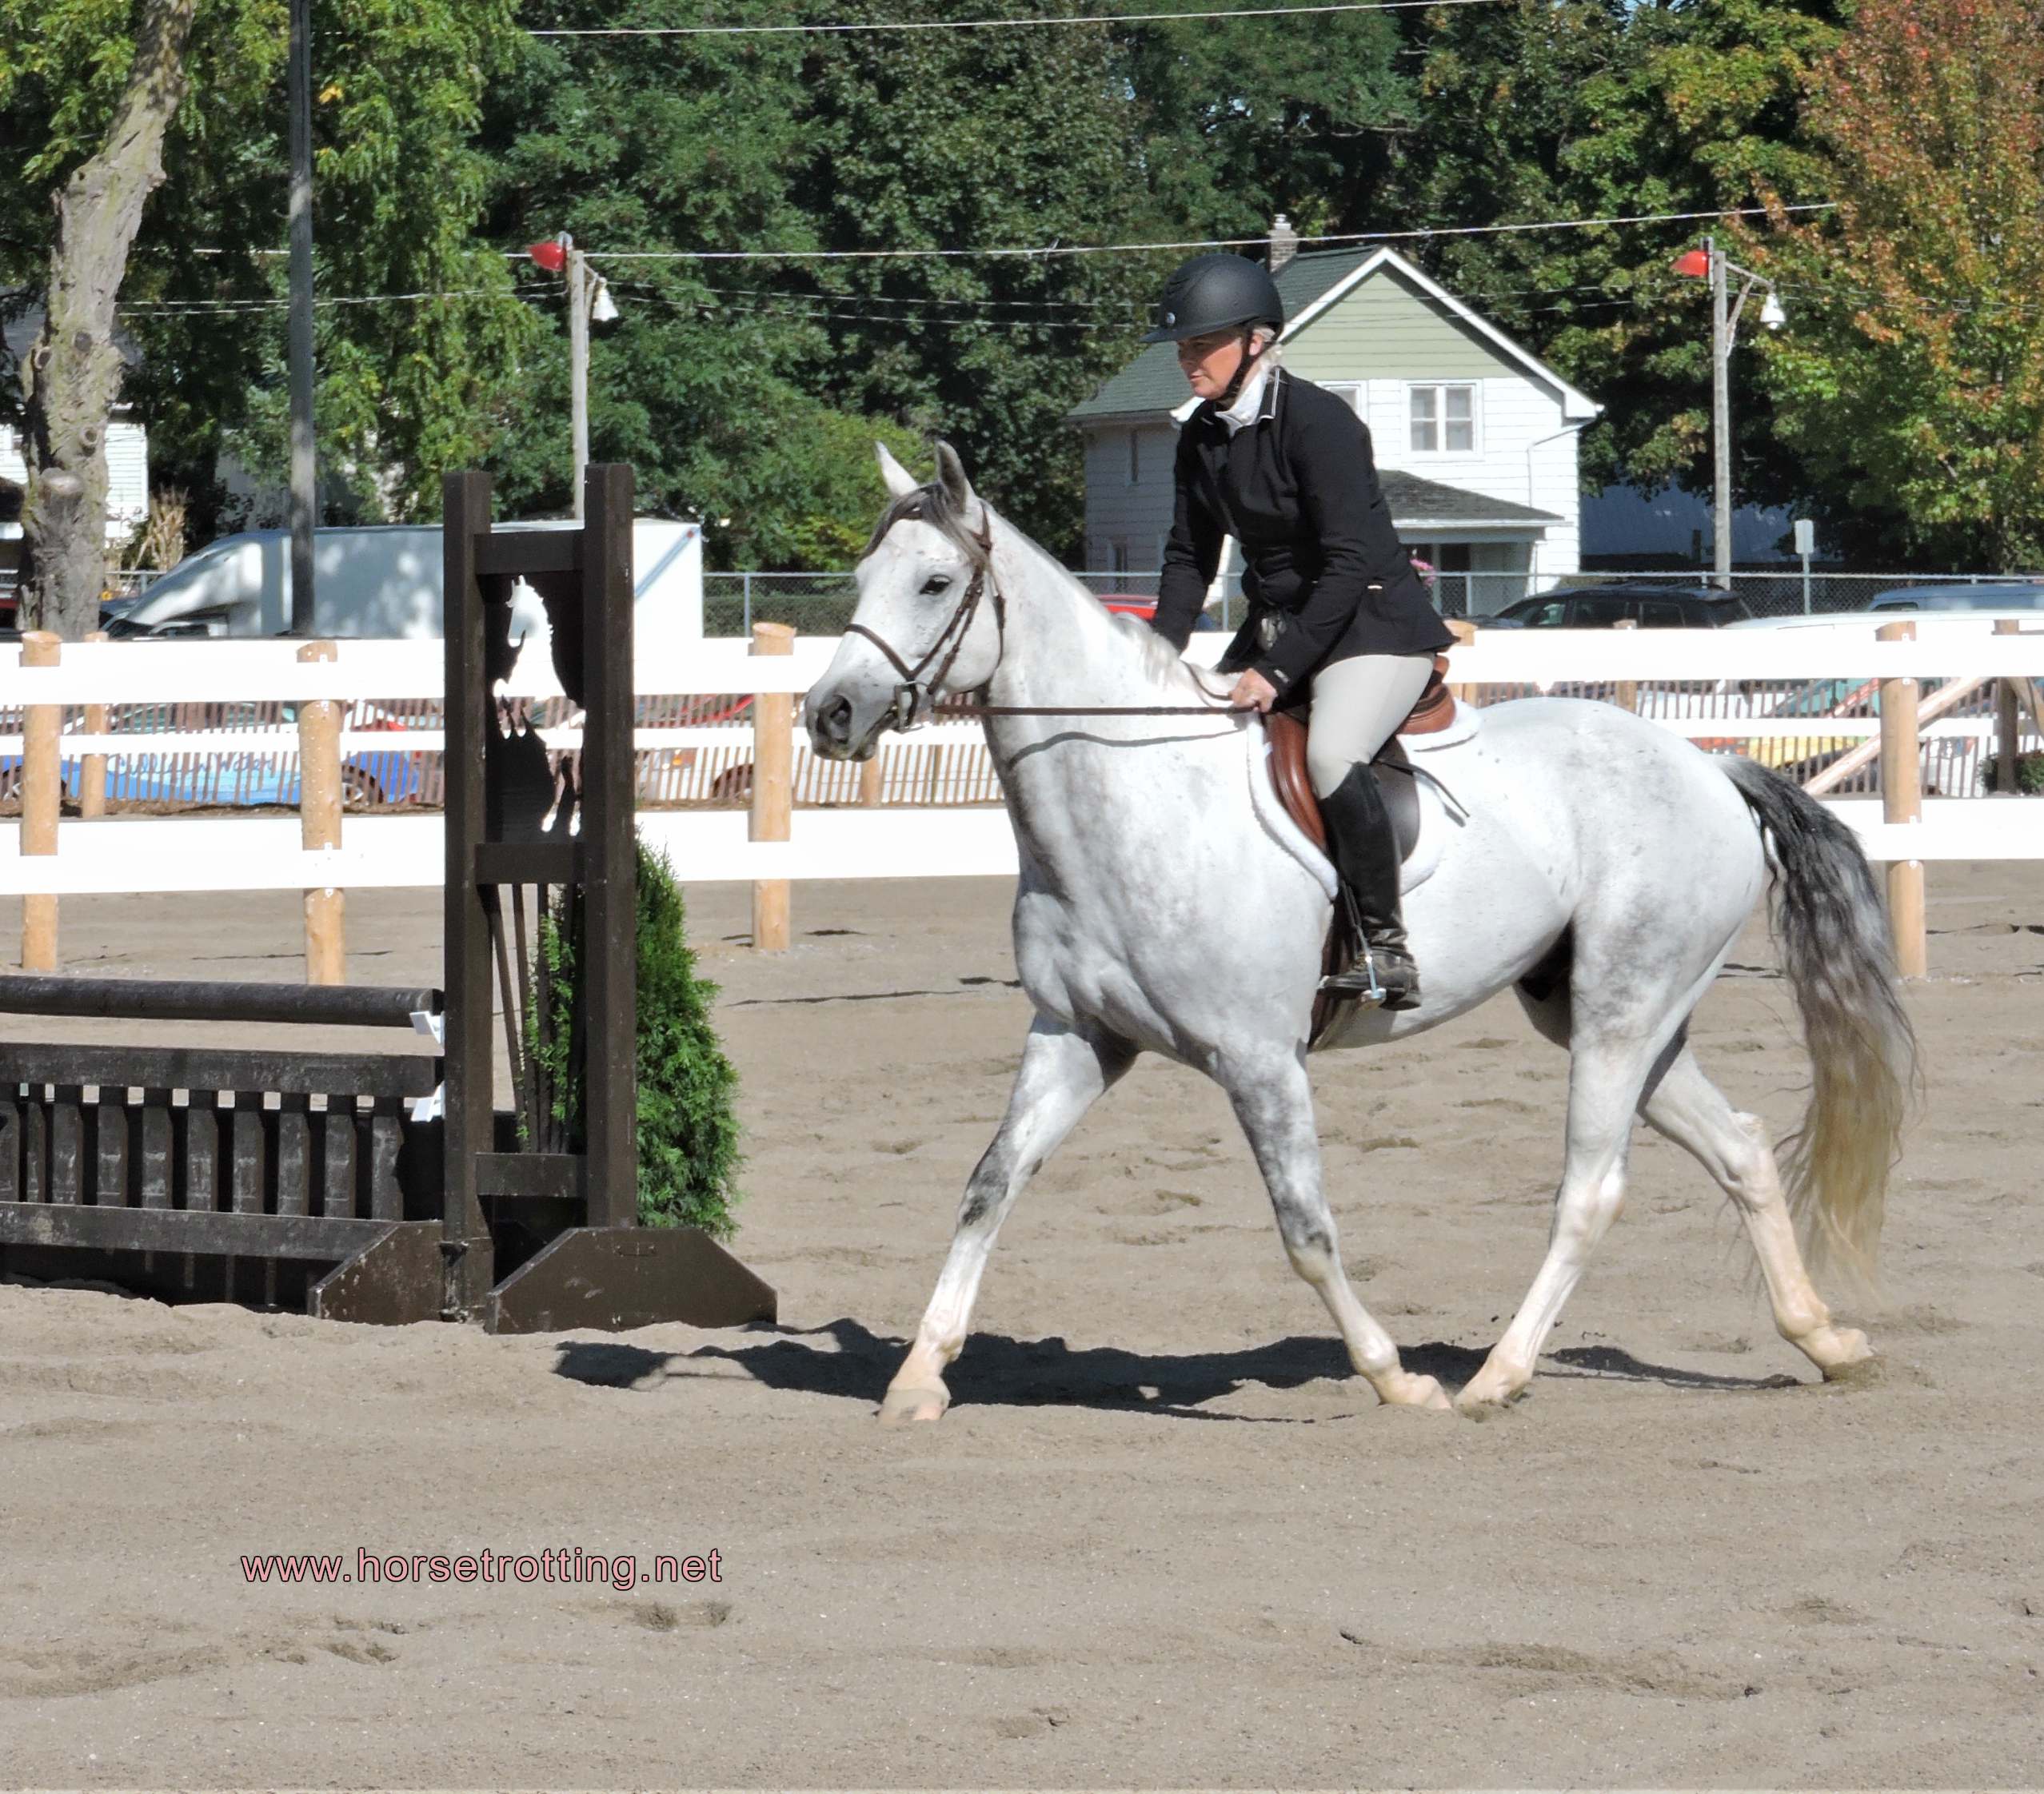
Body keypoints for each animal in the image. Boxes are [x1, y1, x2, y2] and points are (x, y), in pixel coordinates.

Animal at [803, 442, 1916, 1423]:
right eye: (862, 577)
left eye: (935, 582)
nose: (830, 713)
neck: (1129, 797)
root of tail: (1709, 766)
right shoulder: (1079, 1038)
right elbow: (988, 1187)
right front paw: (918, 1378)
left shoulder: (1259, 1060)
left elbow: (1305, 1229)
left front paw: (1393, 1379)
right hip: (1613, 1012)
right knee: (1739, 1149)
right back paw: (1826, 1340)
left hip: (1621, 1013)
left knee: (1590, 1189)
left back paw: (1496, 1380)